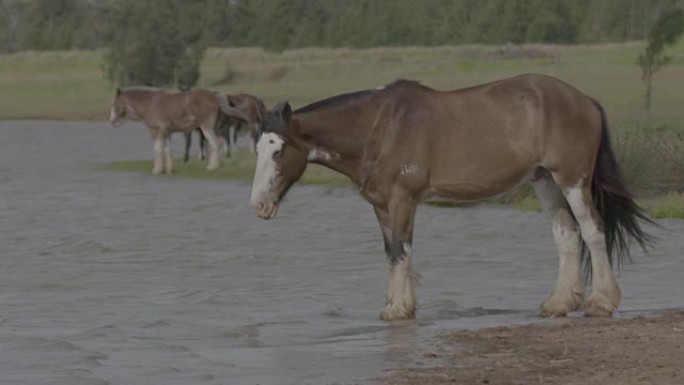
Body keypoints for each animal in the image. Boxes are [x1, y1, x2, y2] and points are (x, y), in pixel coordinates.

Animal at [111, 88, 250, 173]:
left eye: (114, 104)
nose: (111, 121)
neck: (150, 104)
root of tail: (214, 95)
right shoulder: (166, 133)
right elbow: (167, 150)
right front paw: (169, 169)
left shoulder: (156, 132)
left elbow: (158, 150)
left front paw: (157, 170)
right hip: (216, 128)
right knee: (220, 143)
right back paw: (218, 165)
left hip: (207, 128)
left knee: (215, 144)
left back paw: (211, 167)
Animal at [248, 73, 656, 320]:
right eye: (257, 148)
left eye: (278, 150)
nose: (259, 205)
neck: (379, 128)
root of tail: (584, 100)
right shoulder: (381, 205)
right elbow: (391, 252)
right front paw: (394, 306)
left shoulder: (403, 200)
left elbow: (402, 251)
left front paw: (400, 309)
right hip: (545, 181)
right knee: (566, 236)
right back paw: (558, 303)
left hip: (571, 179)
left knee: (593, 231)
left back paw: (601, 302)